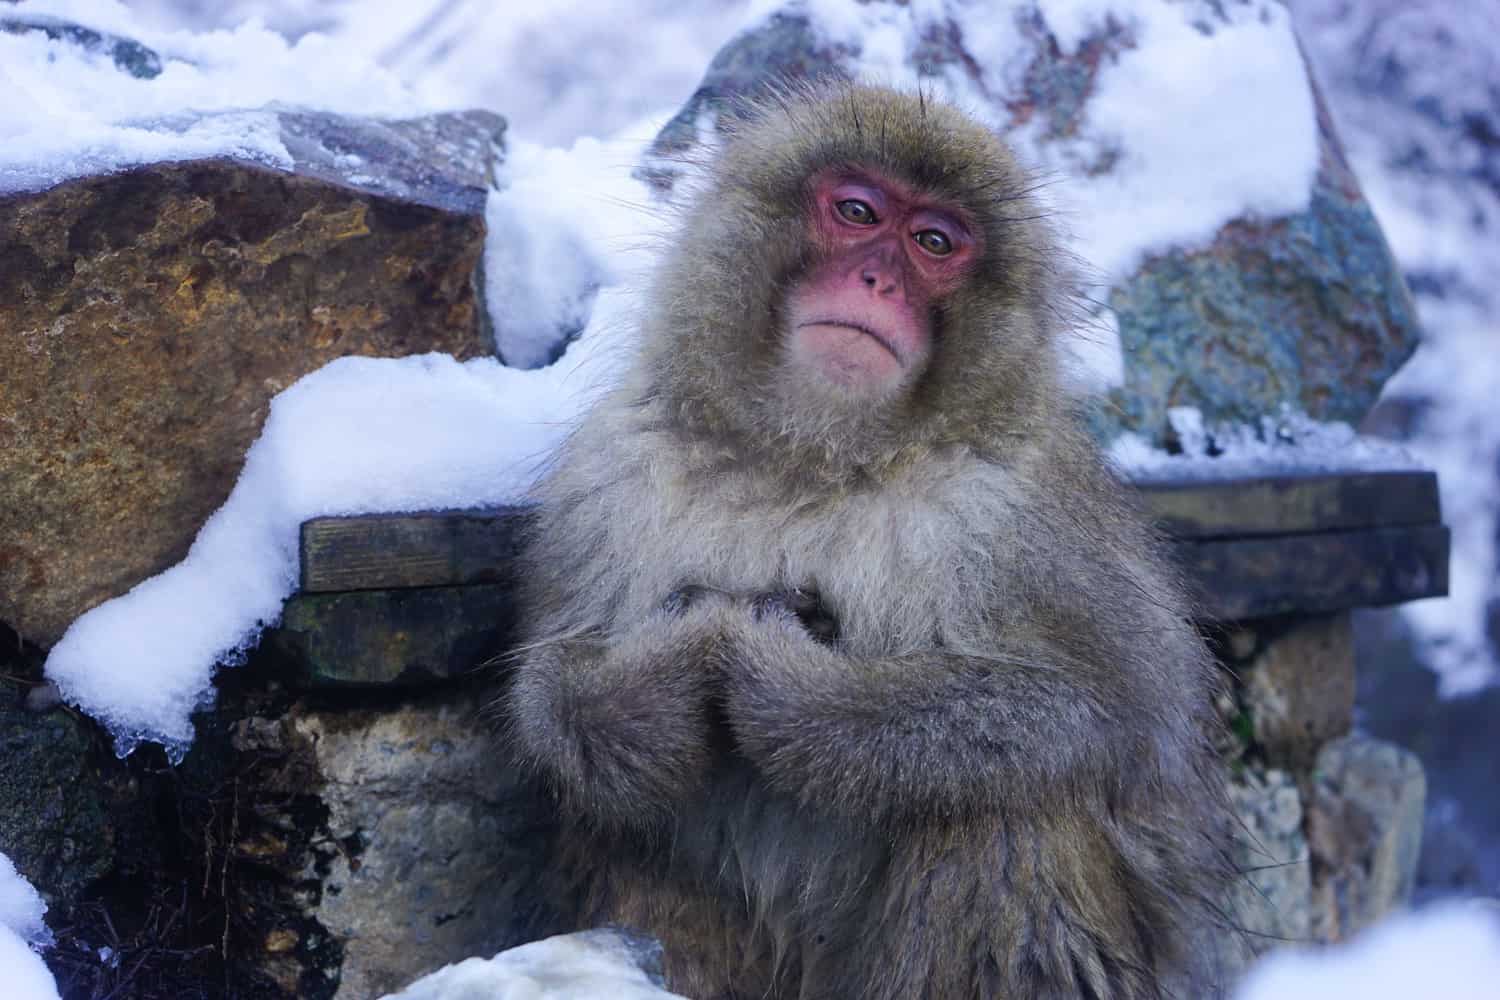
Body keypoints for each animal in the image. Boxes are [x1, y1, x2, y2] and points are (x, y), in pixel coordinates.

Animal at [504, 86, 1230, 1000]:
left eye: (934, 243)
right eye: (858, 212)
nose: (877, 277)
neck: (815, 458)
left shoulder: (1027, 517)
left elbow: (1115, 714)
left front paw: (774, 681)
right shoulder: (606, 476)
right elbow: (556, 693)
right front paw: (669, 670)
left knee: (1005, 809)